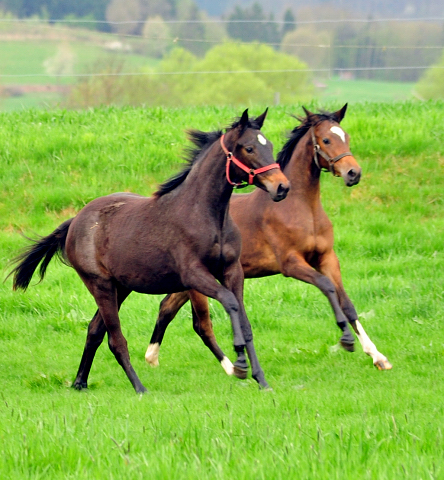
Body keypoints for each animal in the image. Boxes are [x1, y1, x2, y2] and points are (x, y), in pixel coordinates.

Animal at [9, 109, 292, 394]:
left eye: (270, 145)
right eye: (249, 148)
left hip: (120, 287)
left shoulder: (232, 271)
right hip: (100, 284)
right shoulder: (194, 275)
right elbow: (229, 303)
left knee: (94, 330)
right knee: (115, 338)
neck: (207, 214)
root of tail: (75, 221)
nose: (282, 187)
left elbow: (244, 321)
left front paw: (261, 379)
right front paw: (240, 363)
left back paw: (80, 382)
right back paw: (139, 388)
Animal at [146, 104, 392, 376]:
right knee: (201, 324)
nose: (353, 173)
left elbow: (347, 303)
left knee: (167, 307)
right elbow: (326, 286)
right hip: (197, 283)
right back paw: (232, 368)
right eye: (326, 140)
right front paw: (346, 339)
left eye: (345, 137)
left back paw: (152, 357)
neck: (302, 209)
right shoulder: (291, 264)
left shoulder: (327, 258)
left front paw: (378, 356)